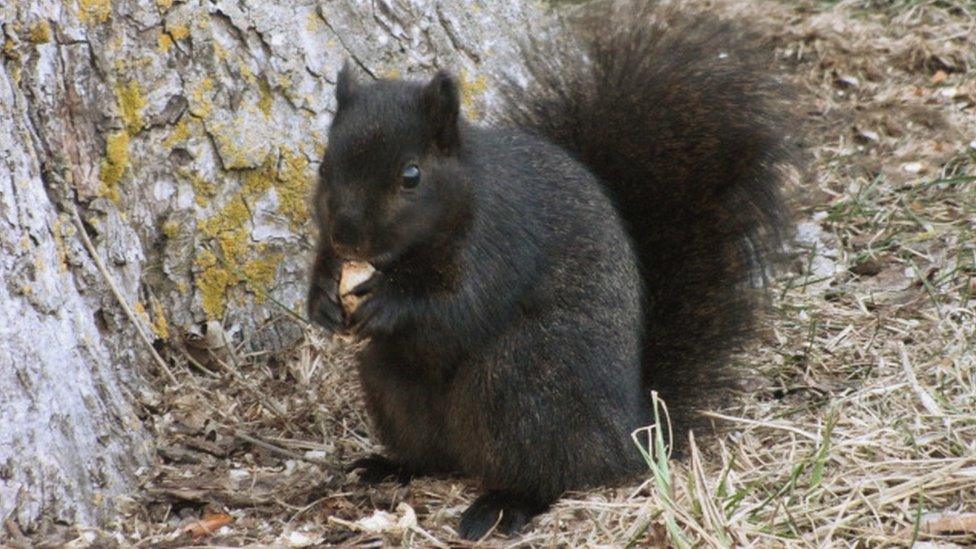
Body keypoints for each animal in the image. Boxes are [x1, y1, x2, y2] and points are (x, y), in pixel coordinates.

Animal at [304, 0, 792, 540]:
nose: (347, 236)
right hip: (393, 386)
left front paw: (388, 302)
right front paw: (321, 299)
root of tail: (626, 434)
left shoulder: (499, 242)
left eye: (411, 176)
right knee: (436, 456)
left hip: (519, 384)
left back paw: (502, 505)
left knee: (547, 475)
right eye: (323, 167)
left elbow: (458, 306)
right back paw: (389, 466)